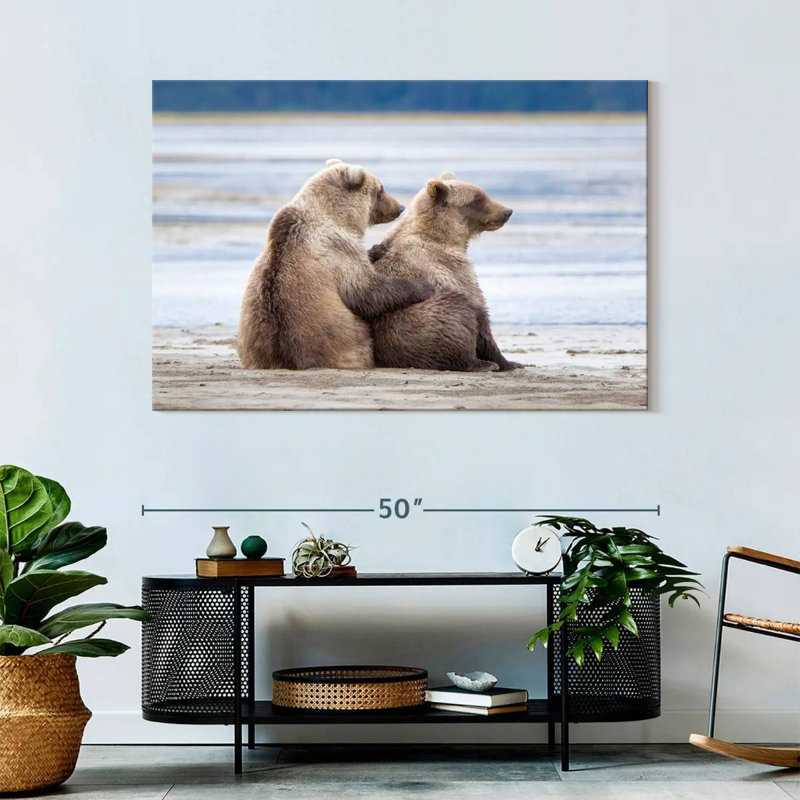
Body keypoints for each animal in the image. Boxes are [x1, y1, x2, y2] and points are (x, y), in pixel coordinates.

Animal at [237, 159, 434, 370]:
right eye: (381, 188)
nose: (400, 207)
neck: (336, 216)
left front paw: (377, 249)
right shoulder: (335, 248)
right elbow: (365, 289)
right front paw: (423, 286)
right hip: (346, 340)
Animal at [369, 173, 521, 372]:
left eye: (483, 192)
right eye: (477, 198)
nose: (507, 211)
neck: (443, 236)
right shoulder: (450, 268)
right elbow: (479, 309)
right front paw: (508, 362)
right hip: (418, 325)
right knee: (457, 313)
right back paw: (480, 363)